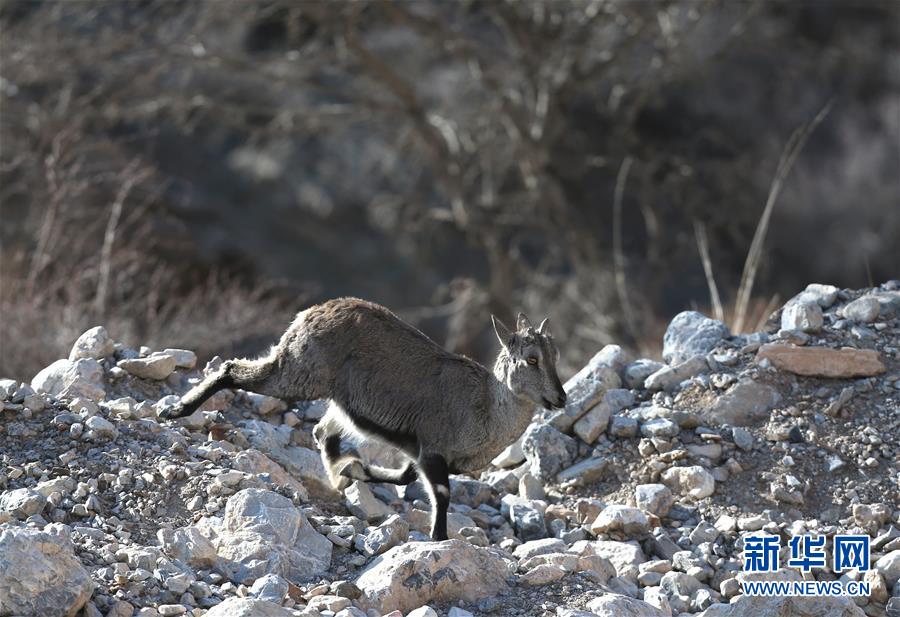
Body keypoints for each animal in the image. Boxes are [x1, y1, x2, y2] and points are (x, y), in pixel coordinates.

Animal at [159, 297, 566, 540]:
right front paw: (439, 540)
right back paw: (177, 410)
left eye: (555, 355)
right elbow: (440, 495)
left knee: (323, 431)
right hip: (299, 374)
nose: (560, 398)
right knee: (232, 369)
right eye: (531, 359)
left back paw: (338, 475)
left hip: (337, 400)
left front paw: (351, 470)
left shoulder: (420, 452)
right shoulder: (433, 449)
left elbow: (403, 476)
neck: (486, 408)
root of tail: (308, 314)